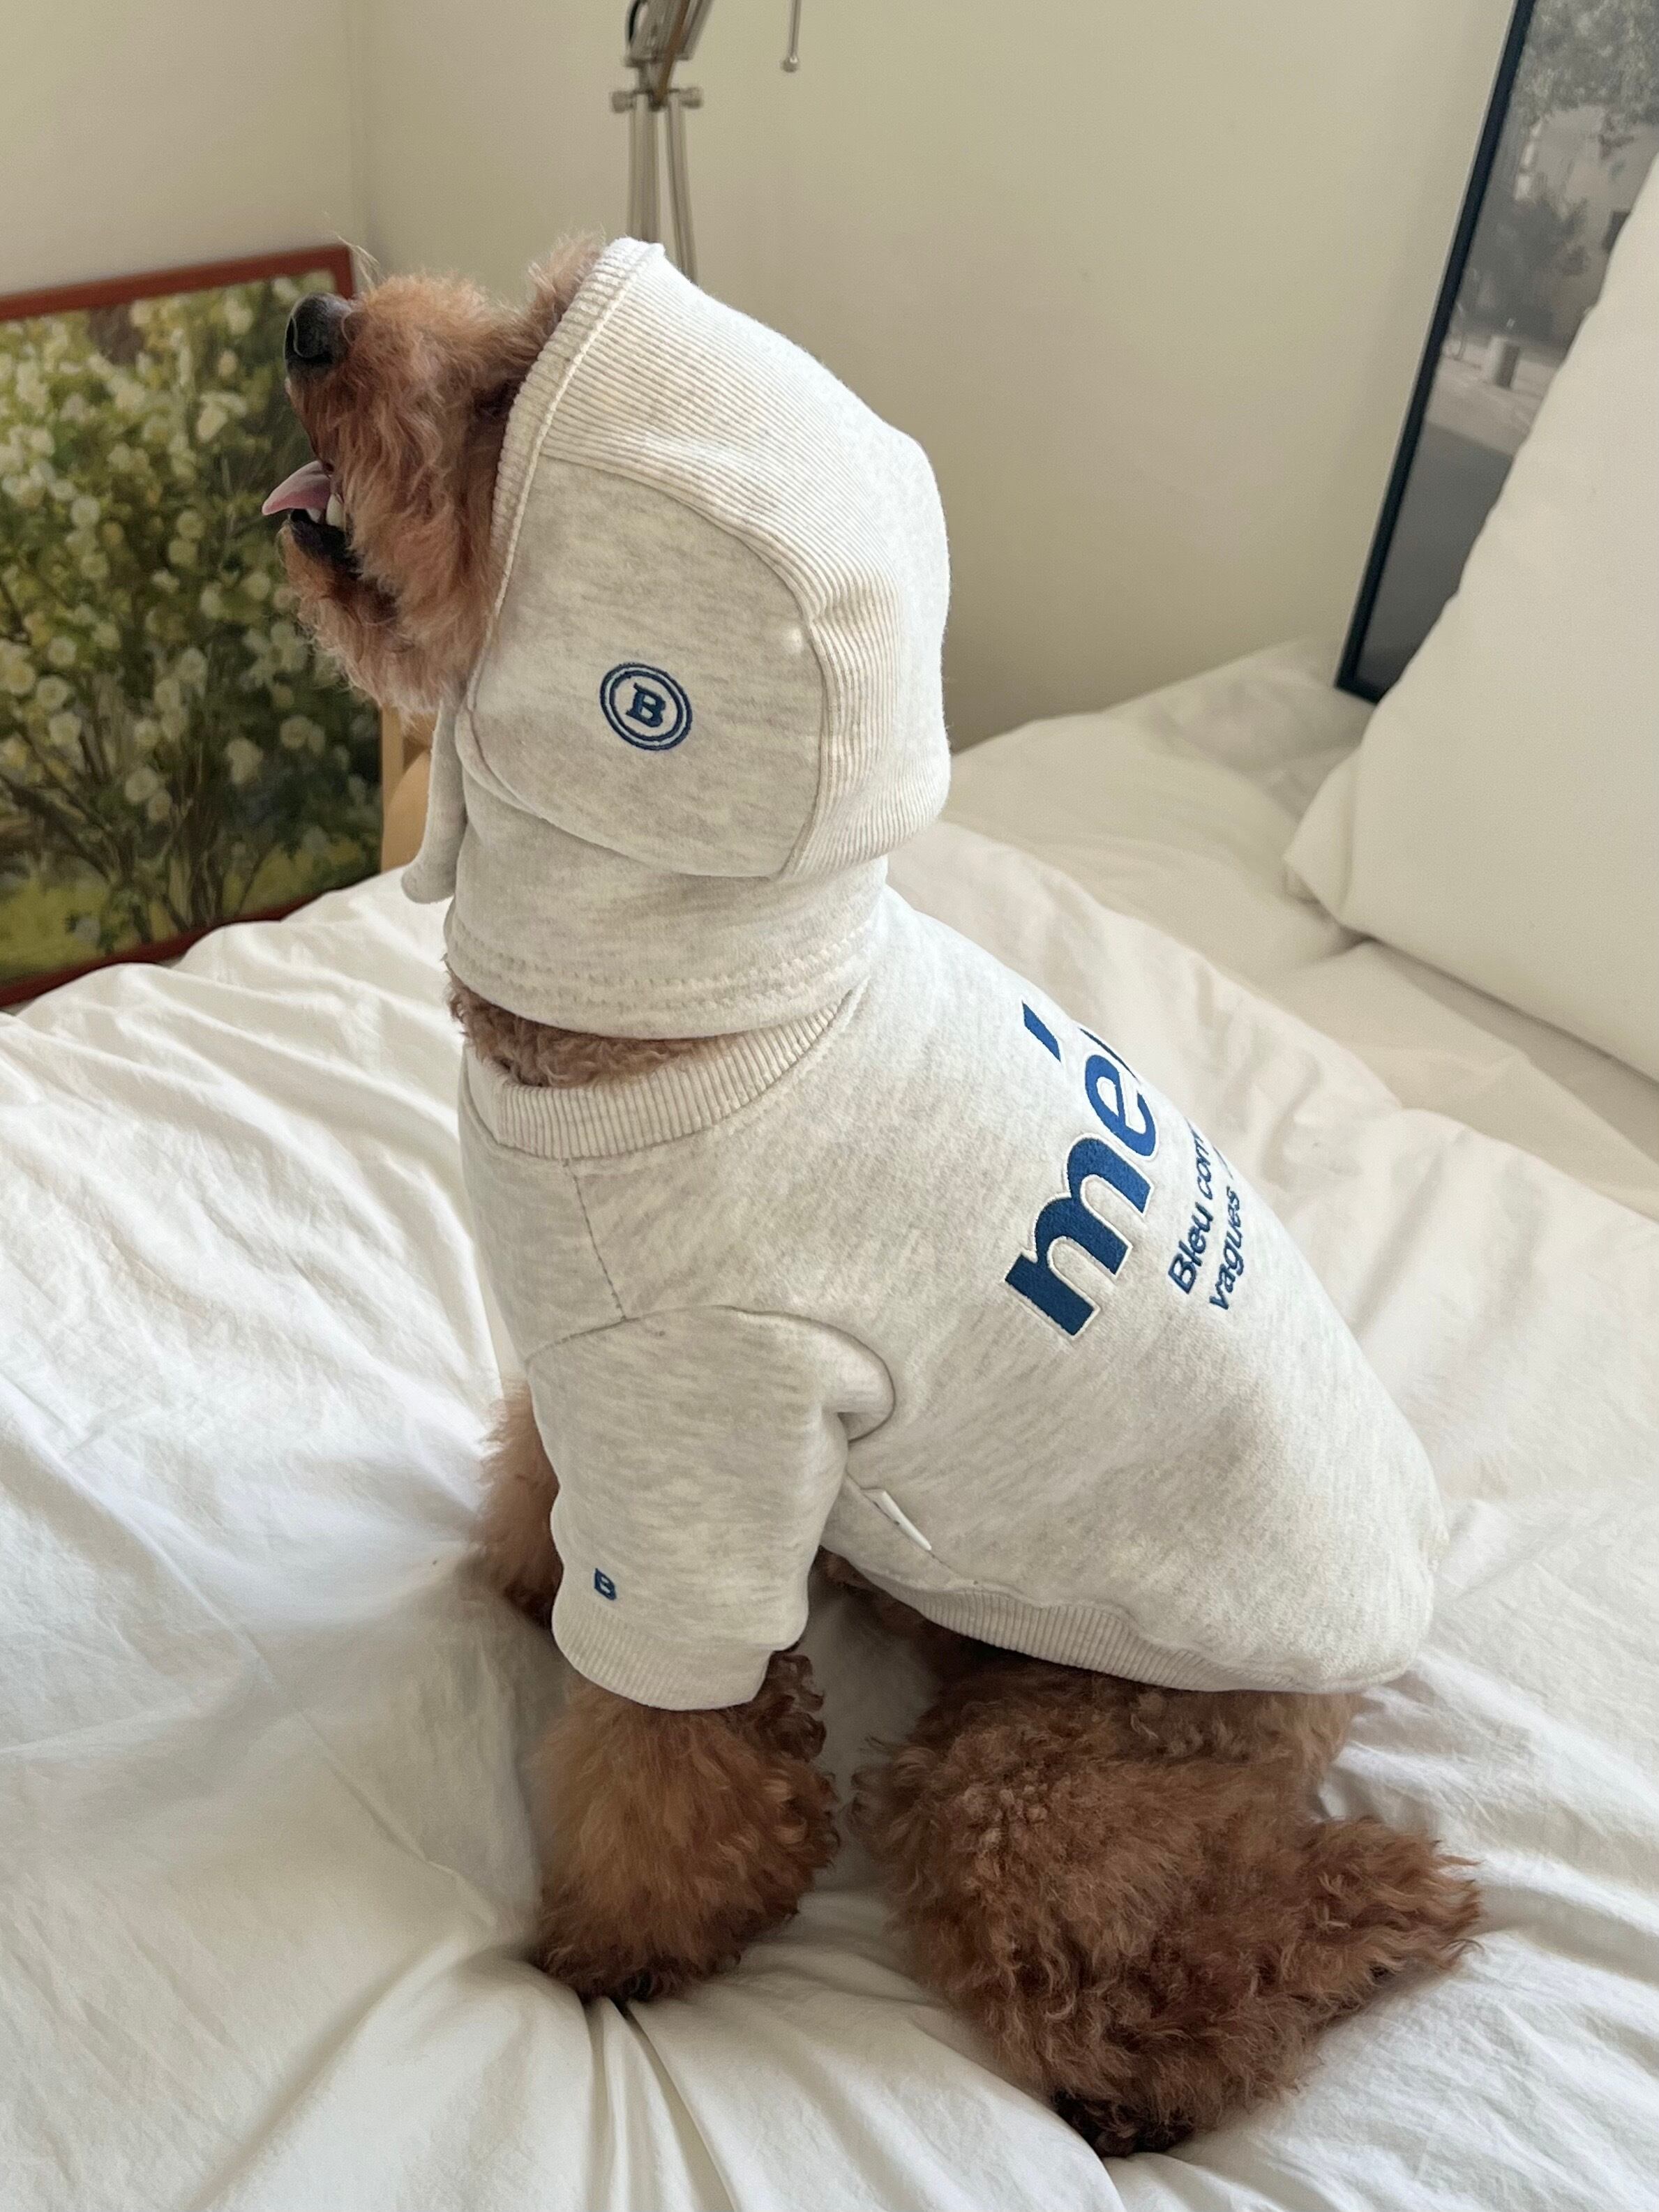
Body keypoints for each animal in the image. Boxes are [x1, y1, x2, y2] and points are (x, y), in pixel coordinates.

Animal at [268, 243, 1478, 2159]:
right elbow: (539, 1480)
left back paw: (1372, 1924)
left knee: (1166, 1988)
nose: (310, 323)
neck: (701, 1016)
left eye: (507, 395)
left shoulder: (715, 1431)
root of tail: (1369, 1640)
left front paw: (610, 1954)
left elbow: (673, 1748)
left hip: (1058, 1767)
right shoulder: (591, 1360)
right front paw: (519, 1573)